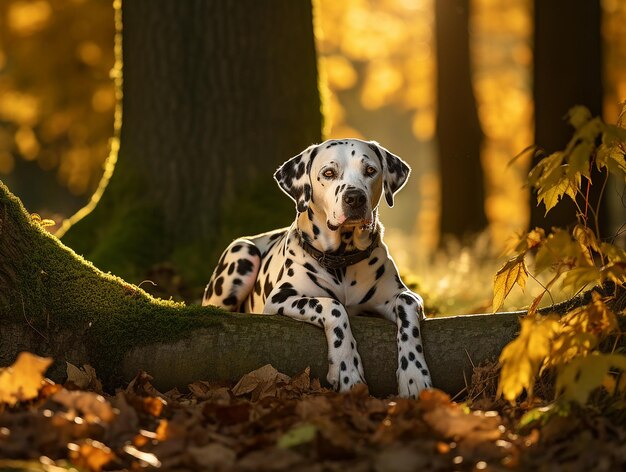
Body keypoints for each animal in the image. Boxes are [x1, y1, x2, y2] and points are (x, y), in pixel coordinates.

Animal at [202, 138, 432, 396]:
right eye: (329, 173)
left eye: (370, 170)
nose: (355, 198)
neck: (342, 260)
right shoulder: (280, 299)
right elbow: (333, 306)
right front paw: (346, 368)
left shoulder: (400, 297)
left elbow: (407, 308)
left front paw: (414, 374)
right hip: (242, 253)